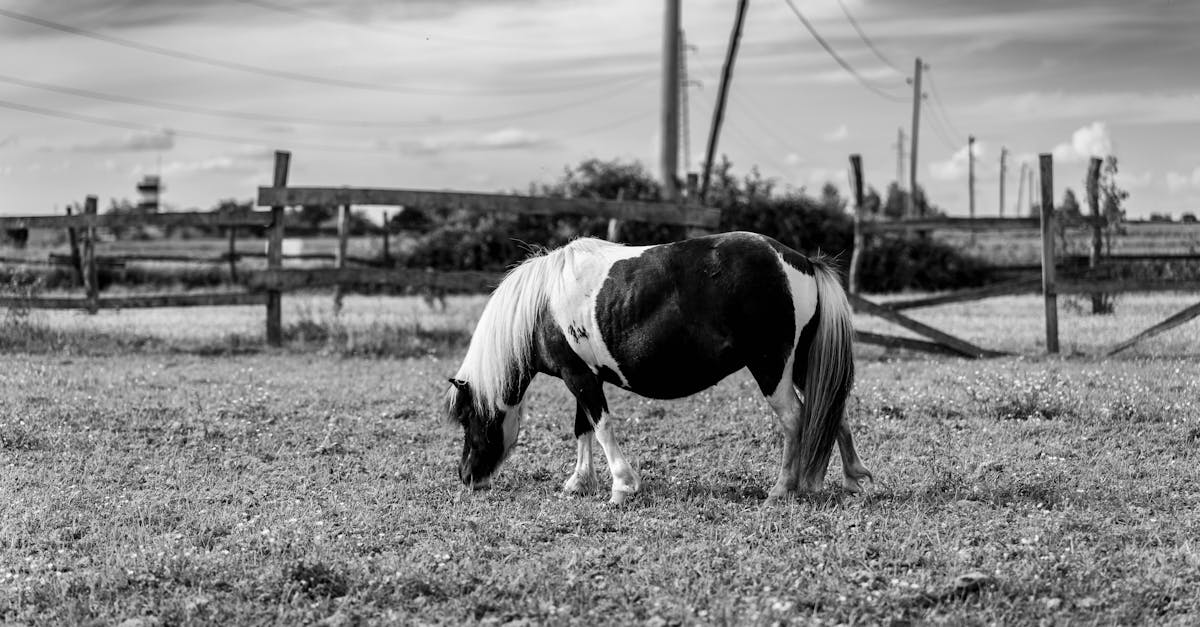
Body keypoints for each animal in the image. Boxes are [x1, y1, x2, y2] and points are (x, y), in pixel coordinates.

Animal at [444, 230, 873, 502]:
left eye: (466, 418)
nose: (467, 478)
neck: (542, 307)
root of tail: (800, 261)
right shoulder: (583, 377)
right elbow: (583, 428)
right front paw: (579, 482)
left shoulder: (579, 377)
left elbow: (601, 427)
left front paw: (622, 486)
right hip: (801, 364)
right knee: (832, 411)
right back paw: (853, 478)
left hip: (771, 368)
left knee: (796, 419)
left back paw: (783, 489)